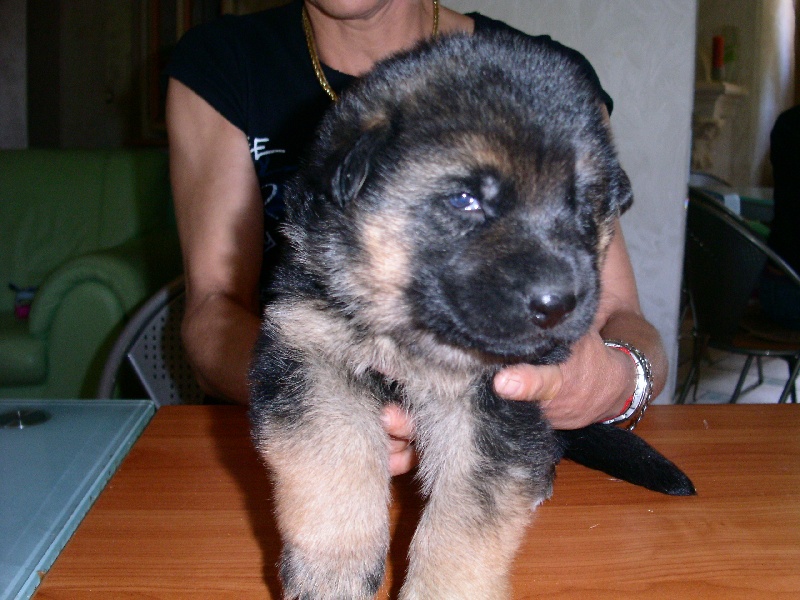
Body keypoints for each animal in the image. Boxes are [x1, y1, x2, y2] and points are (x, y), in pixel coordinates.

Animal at [250, 29, 692, 600]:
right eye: (465, 200)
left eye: (582, 205)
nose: (557, 303)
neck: (411, 337)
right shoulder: (311, 358)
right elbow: (336, 466)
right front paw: (334, 576)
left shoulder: (495, 407)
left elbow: (462, 530)